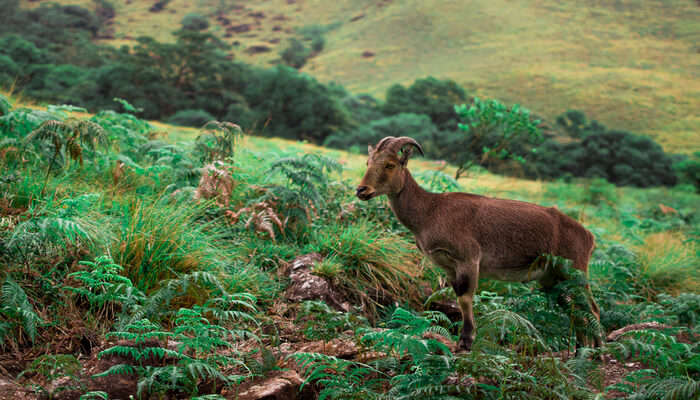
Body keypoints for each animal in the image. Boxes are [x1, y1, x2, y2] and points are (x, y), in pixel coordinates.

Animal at [356, 136, 600, 352]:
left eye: (390, 164)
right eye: (368, 162)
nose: (362, 190)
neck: (430, 211)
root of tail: (588, 237)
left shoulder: (469, 259)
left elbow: (465, 298)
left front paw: (465, 342)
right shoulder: (448, 266)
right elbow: (458, 296)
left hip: (574, 271)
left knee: (592, 309)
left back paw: (596, 352)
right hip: (552, 279)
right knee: (576, 310)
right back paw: (580, 352)